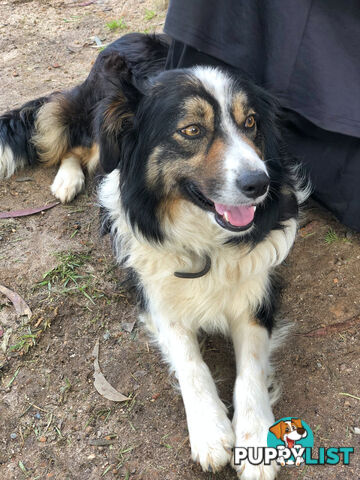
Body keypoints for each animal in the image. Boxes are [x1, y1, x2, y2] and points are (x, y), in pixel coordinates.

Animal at [0, 32, 310, 476]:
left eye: (250, 122)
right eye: (192, 130)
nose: (260, 183)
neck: (203, 237)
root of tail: (126, 37)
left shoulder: (257, 294)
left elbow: (250, 369)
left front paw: (255, 441)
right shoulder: (156, 295)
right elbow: (191, 361)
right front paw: (210, 430)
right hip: (100, 130)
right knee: (77, 147)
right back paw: (67, 179)